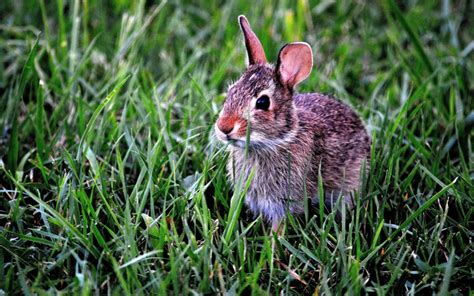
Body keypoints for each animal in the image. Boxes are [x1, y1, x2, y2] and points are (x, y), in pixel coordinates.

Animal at [215, 15, 370, 231]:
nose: (223, 127)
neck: (277, 141)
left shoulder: (284, 203)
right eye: (230, 92)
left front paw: (274, 240)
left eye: (263, 102)